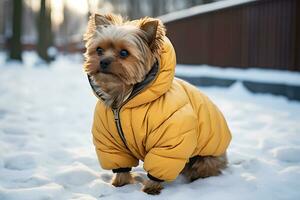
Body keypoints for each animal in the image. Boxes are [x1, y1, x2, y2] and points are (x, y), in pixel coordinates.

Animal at [83, 13, 231, 195]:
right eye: (99, 50)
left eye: (124, 53)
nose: (103, 61)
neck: (123, 99)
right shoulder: (111, 141)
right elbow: (121, 165)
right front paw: (120, 183)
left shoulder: (168, 140)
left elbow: (160, 163)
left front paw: (151, 187)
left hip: (208, 156)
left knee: (205, 167)